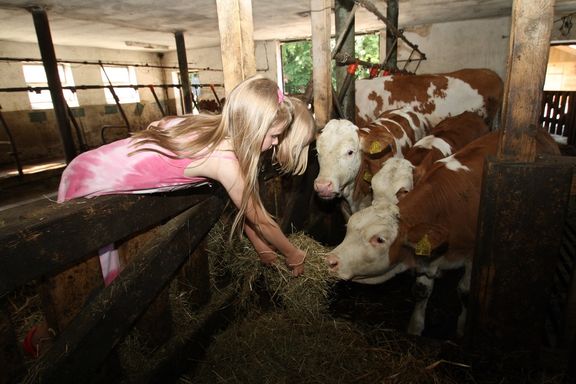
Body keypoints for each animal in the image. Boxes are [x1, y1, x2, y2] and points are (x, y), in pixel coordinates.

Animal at [326, 130, 560, 336]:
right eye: (349, 228)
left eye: (379, 239)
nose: (331, 260)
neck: (446, 208)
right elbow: (421, 290)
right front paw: (415, 326)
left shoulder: (472, 255)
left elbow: (465, 292)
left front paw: (462, 328)